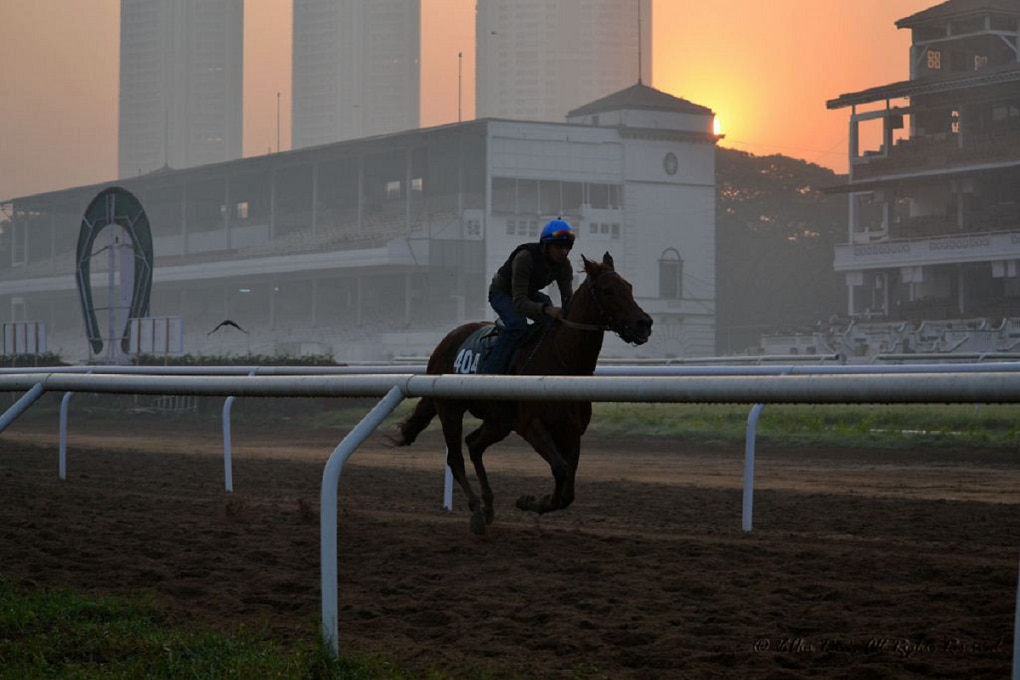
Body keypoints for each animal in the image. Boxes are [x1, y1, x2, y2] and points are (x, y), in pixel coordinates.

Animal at [393, 252, 648, 534]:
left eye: (629, 287)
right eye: (608, 290)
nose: (644, 324)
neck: (562, 364)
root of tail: (444, 342)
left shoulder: (571, 431)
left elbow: (568, 489)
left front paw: (535, 501)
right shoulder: (531, 425)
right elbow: (560, 469)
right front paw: (530, 501)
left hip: (499, 421)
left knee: (474, 445)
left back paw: (488, 505)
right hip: (451, 410)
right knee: (456, 459)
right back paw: (477, 512)